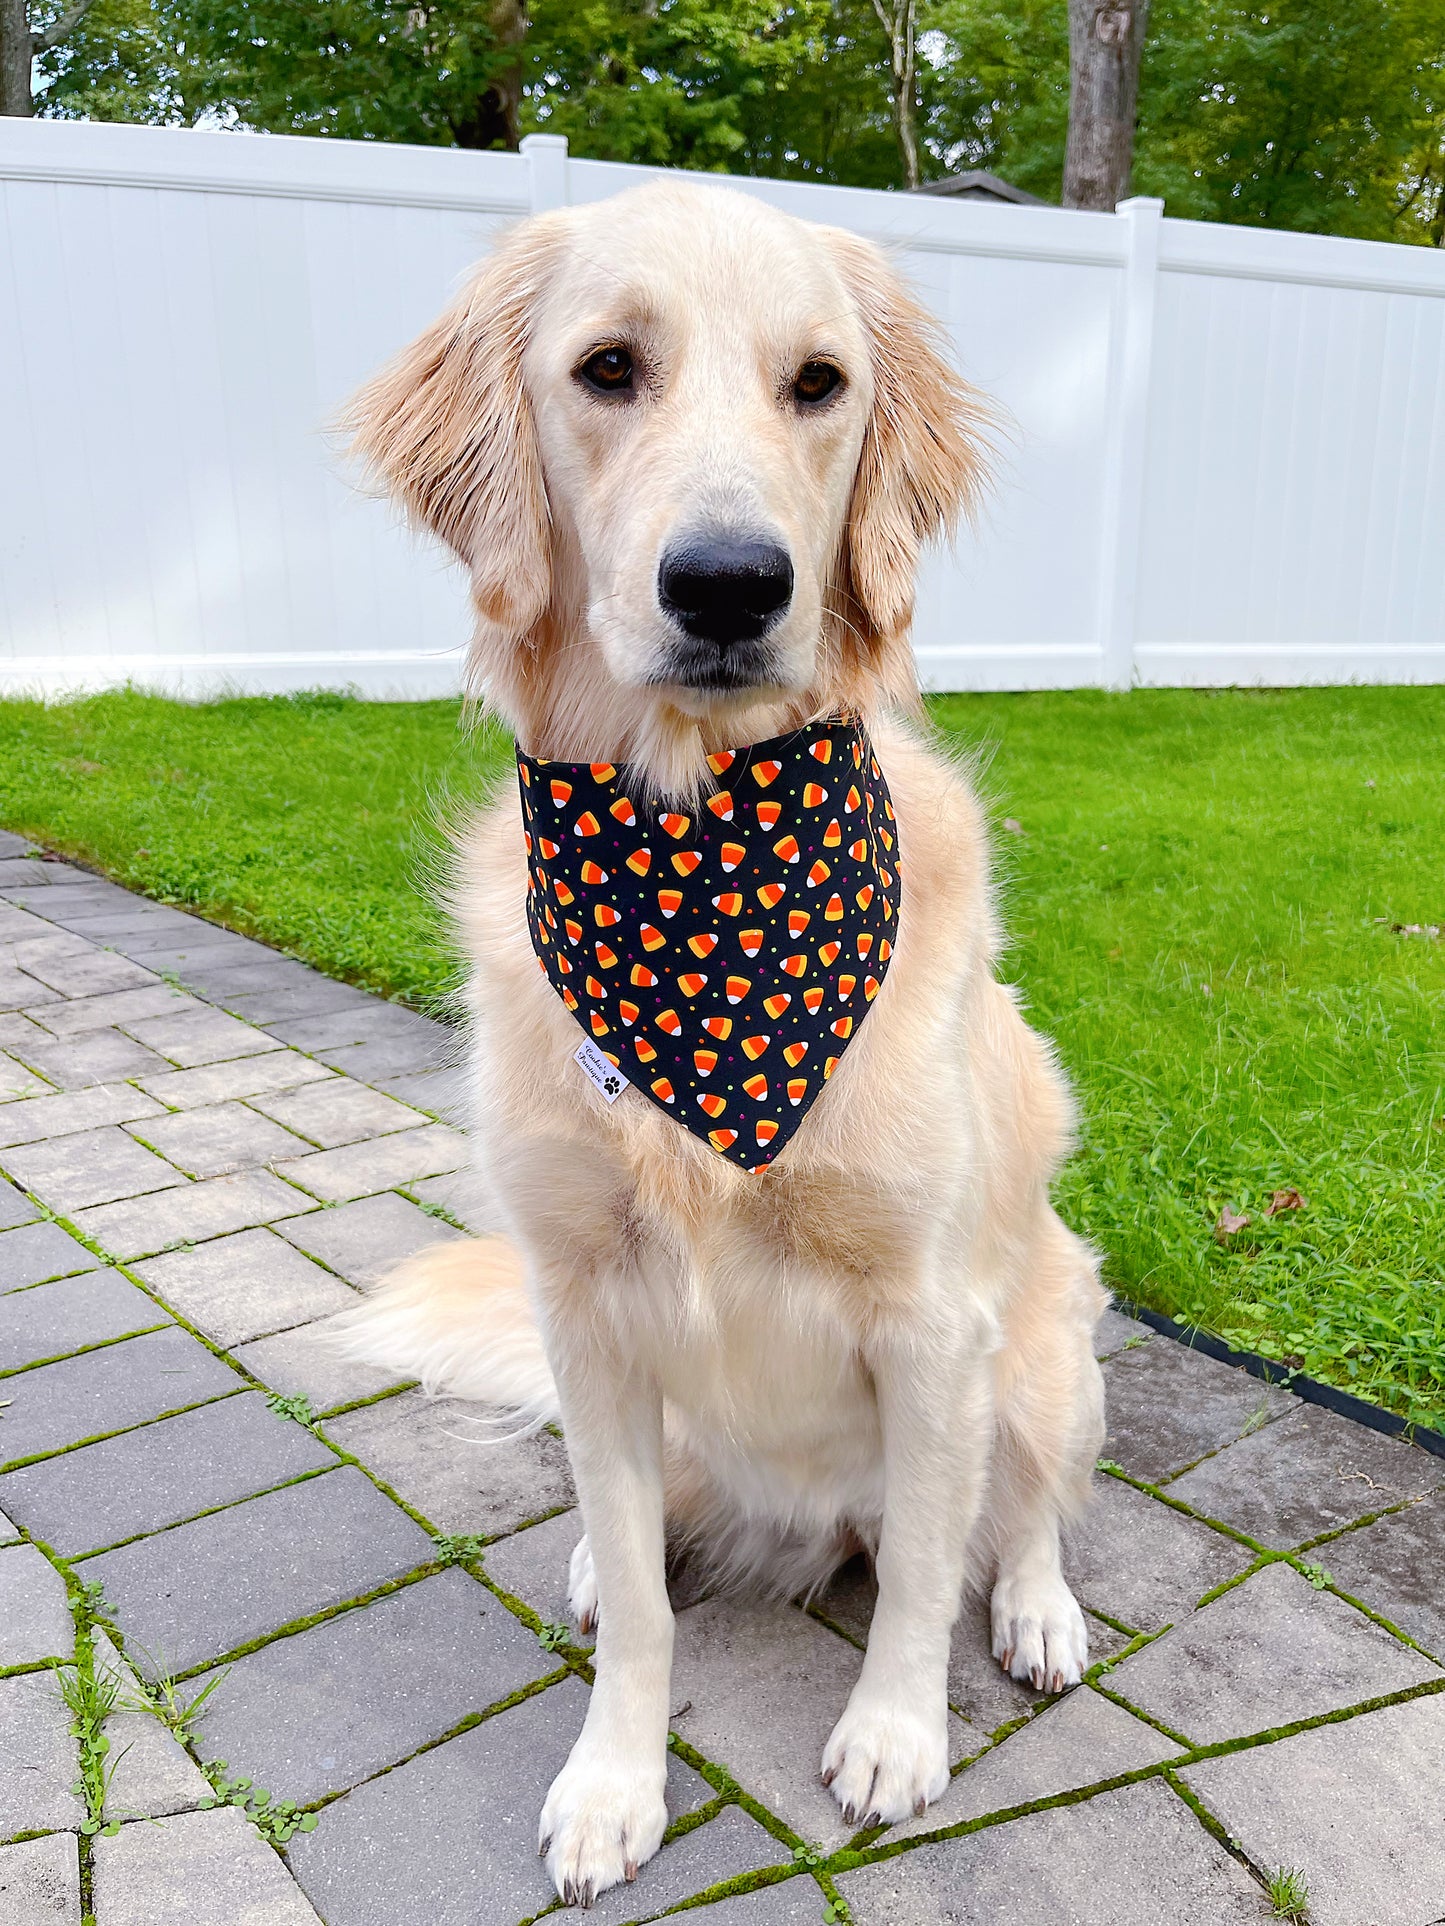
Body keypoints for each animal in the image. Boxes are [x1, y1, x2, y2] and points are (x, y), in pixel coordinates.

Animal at [339, 181, 1109, 1910]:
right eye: (607, 368)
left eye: (818, 384)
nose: (731, 584)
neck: (697, 855)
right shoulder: (587, 1311)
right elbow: (640, 1601)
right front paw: (612, 1783)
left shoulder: (934, 1319)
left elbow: (923, 1582)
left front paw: (894, 1736)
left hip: (1051, 1332)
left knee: (1020, 1510)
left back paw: (1036, 1612)